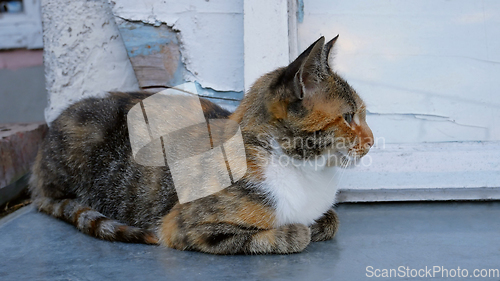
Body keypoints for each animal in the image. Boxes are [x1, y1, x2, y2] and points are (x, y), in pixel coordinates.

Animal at [30, 35, 372, 254]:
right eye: (348, 116)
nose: (371, 142)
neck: (305, 171)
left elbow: (332, 220)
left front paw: (319, 223)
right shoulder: (182, 225)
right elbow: (295, 234)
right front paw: (298, 231)